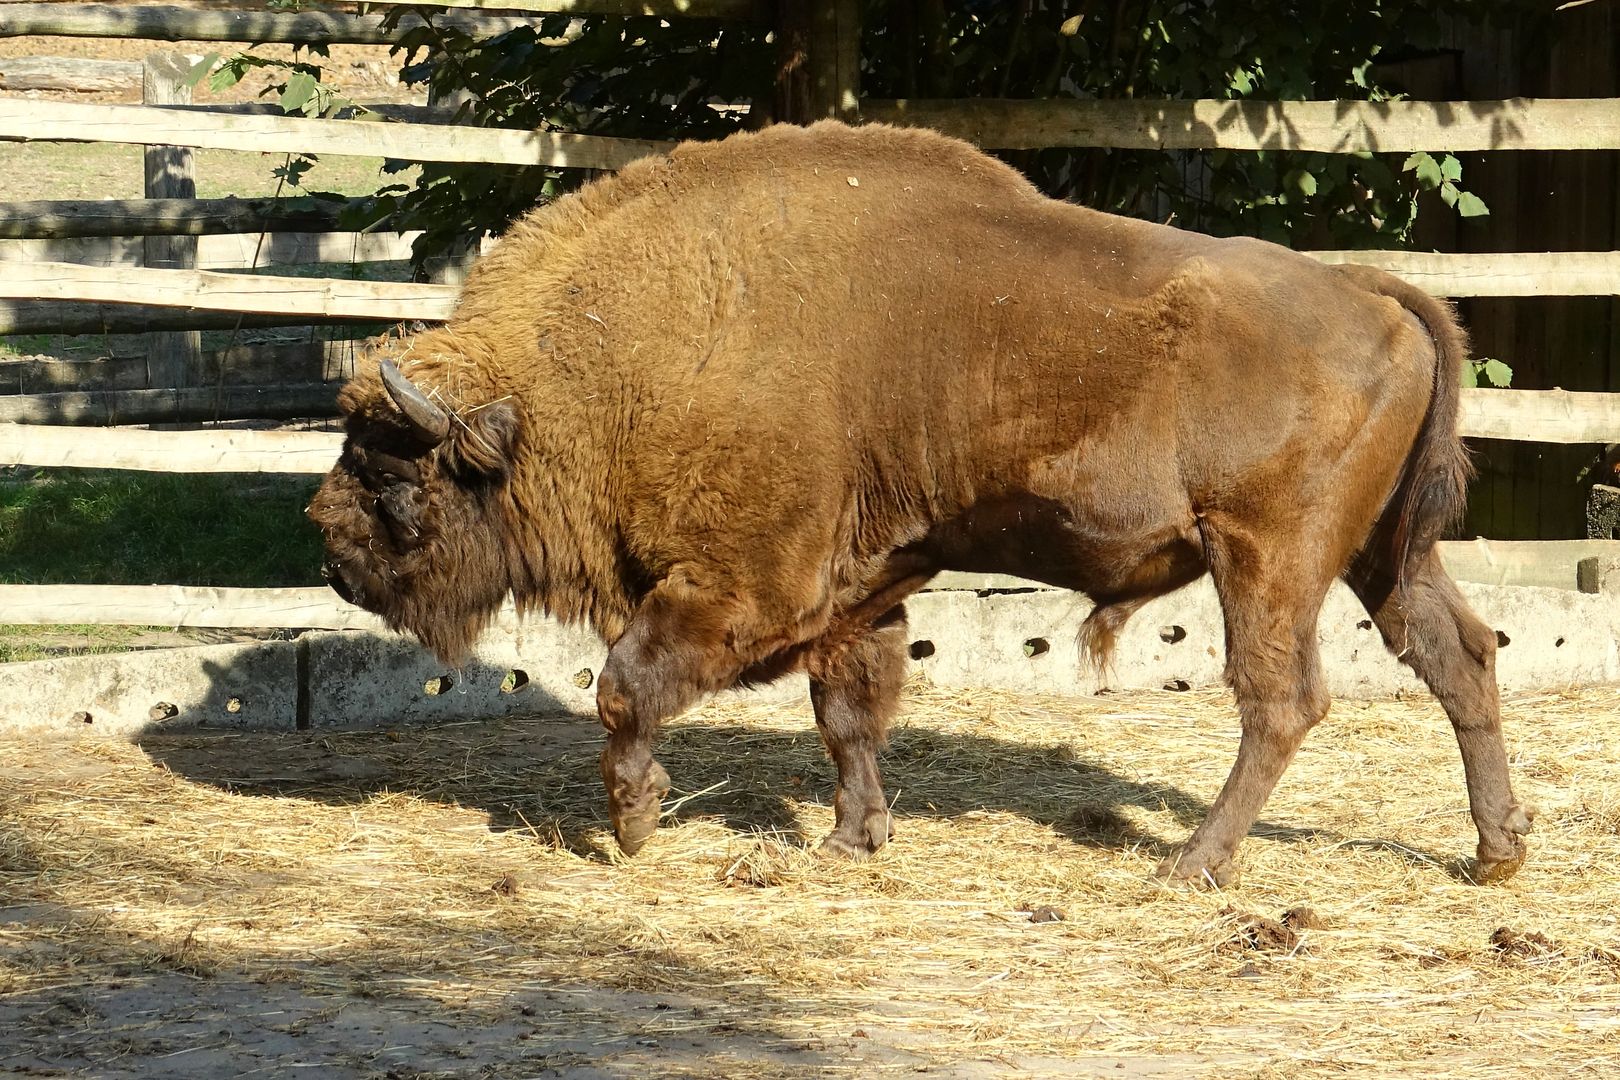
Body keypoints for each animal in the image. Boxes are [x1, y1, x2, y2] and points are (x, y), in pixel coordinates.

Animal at [309, 124, 1535, 887]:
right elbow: (848, 713)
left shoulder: (741, 585)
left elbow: (626, 688)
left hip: (1268, 557)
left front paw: (636, 824)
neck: (606, 361)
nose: (330, 553)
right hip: (1381, 555)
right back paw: (1497, 852)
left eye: (390, 472)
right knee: (1460, 655)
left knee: (1282, 700)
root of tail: (1374, 293)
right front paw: (852, 841)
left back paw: (1194, 865)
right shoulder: (860, 592)